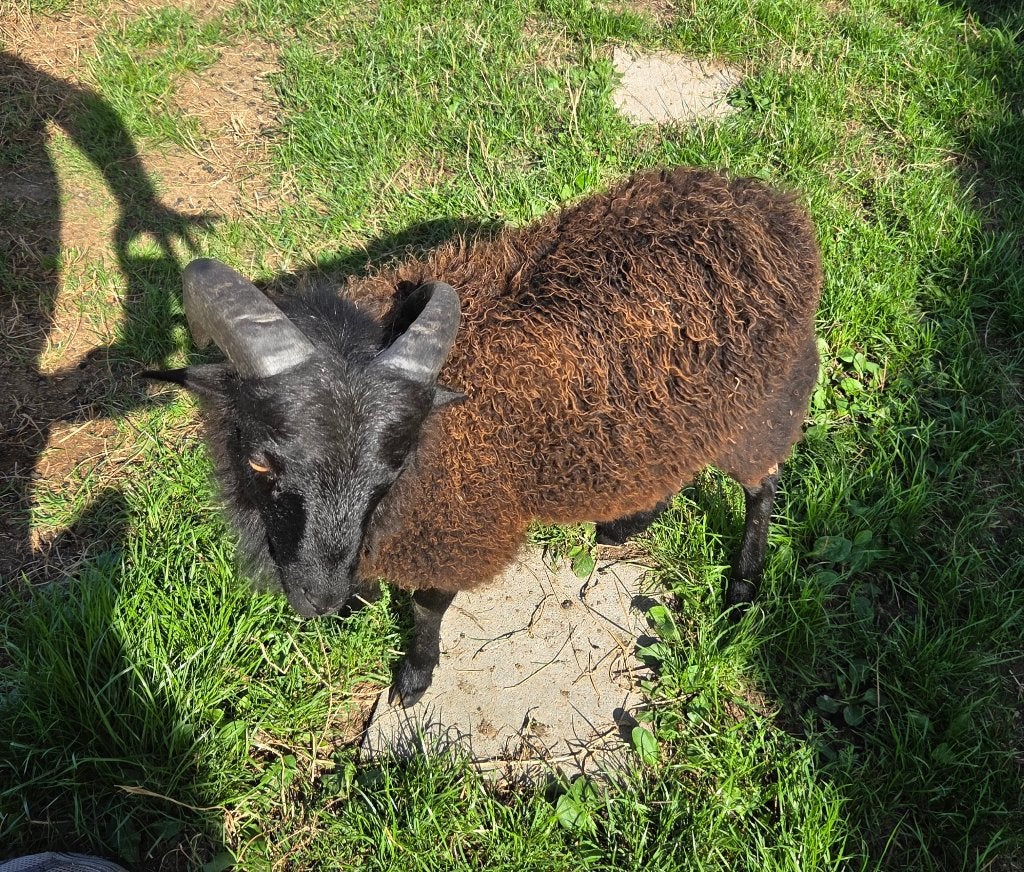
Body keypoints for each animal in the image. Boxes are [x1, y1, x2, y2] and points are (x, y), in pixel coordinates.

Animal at [145, 166, 822, 707]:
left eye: (391, 471)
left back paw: (742, 586)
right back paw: (625, 524)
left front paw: (414, 677)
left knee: (763, 487)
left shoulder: (460, 530)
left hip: (763, 407)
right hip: (679, 421)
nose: (318, 599)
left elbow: (427, 607)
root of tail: (775, 210)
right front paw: (361, 601)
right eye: (264, 463)